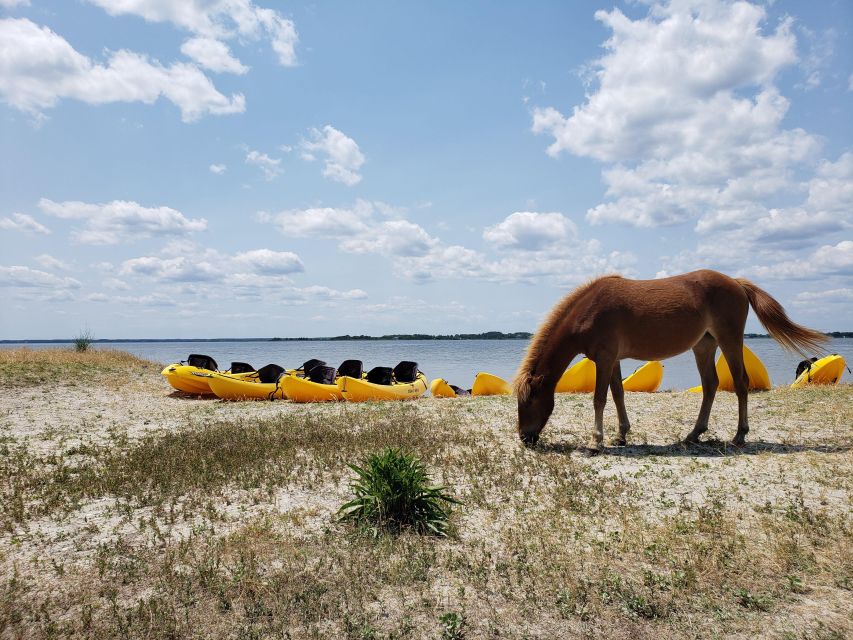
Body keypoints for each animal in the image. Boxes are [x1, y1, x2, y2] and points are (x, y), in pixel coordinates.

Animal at [512, 270, 824, 450]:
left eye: (528, 401)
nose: (525, 438)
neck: (590, 309)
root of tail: (736, 283)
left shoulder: (604, 358)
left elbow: (599, 398)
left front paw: (595, 441)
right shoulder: (613, 360)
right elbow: (618, 394)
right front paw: (621, 435)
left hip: (730, 340)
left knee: (740, 383)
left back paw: (739, 436)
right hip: (704, 345)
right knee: (710, 385)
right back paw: (694, 434)